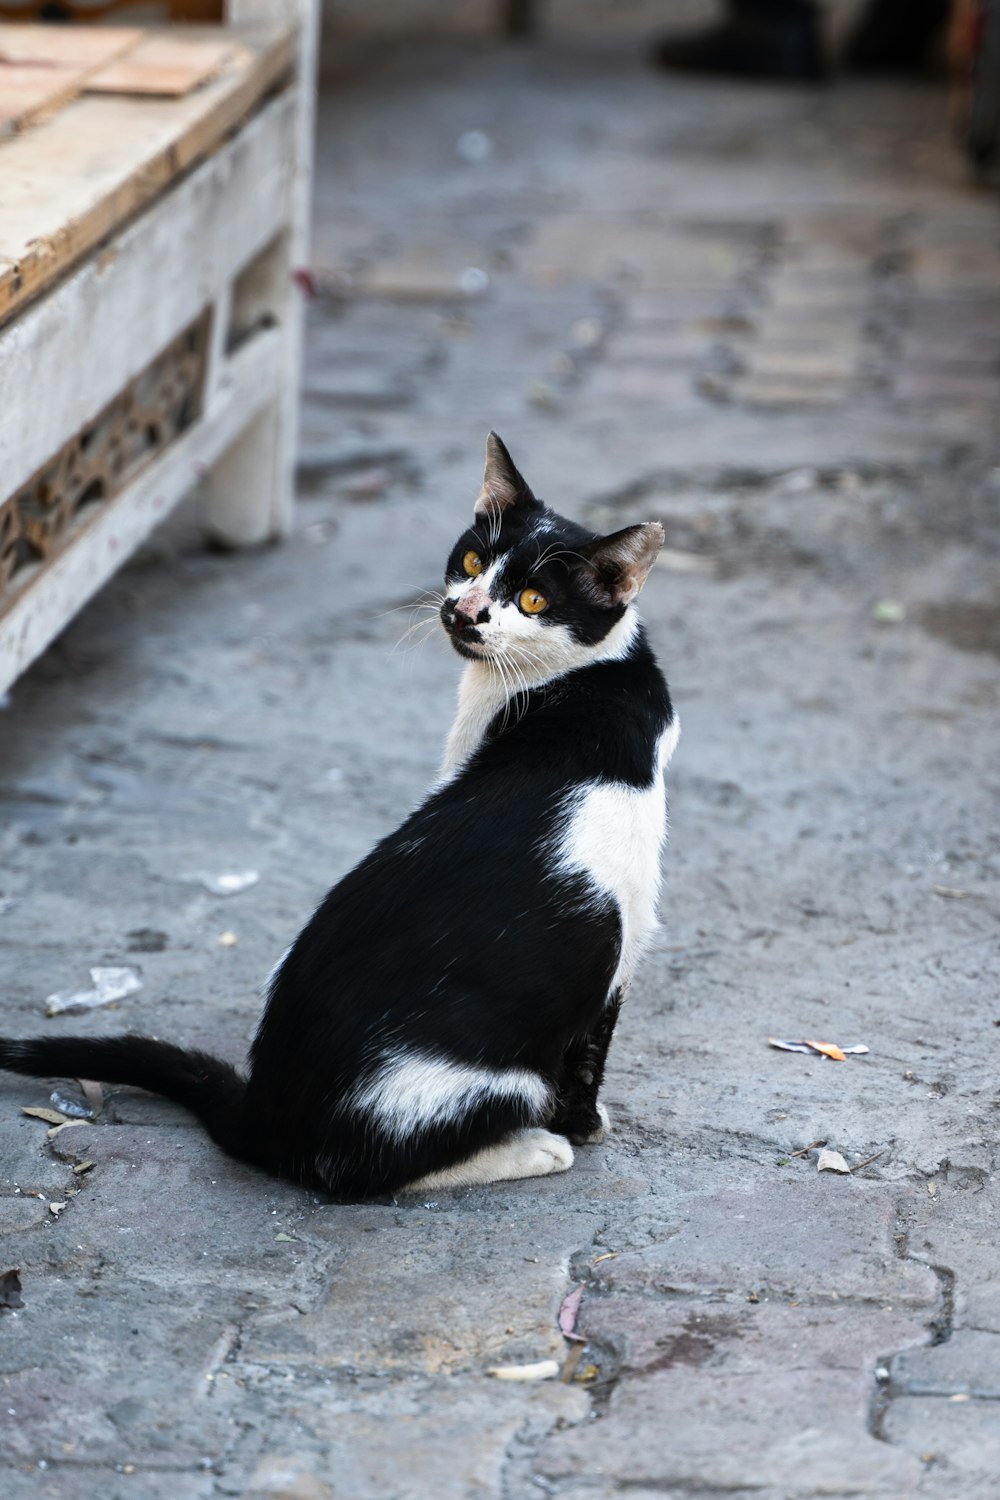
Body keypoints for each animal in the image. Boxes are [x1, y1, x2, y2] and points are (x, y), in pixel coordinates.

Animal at [0, 432, 680, 1194]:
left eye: (534, 599)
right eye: (475, 562)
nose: (466, 611)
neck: (583, 685)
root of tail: (263, 1113)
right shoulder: (621, 936)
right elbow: (589, 1051)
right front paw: (583, 1127)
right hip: (493, 1083)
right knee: (365, 1170)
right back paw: (529, 1149)